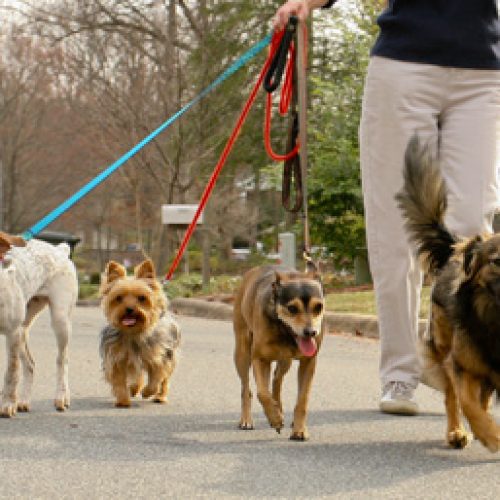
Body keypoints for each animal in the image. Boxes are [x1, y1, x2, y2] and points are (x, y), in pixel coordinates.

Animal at [0, 231, 77, 418]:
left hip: (60, 320)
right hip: (23, 329)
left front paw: (7, 405)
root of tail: (60, 249)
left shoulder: (12, 332)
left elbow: (11, 372)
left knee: (62, 359)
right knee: (30, 364)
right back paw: (24, 401)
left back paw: (61, 397)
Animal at [99, 260, 180, 408]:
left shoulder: (159, 357)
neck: (133, 332)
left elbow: (156, 378)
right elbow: (119, 381)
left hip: (170, 354)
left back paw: (160, 397)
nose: (129, 309)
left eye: (142, 298)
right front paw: (123, 400)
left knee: (164, 380)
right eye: (119, 298)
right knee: (138, 375)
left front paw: (148, 392)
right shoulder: (116, 359)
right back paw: (134, 388)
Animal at [233, 264, 324, 440]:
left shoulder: (309, 362)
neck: (284, 331)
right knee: (246, 388)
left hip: (285, 360)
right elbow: (262, 393)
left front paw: (299, 429)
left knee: (276, 380)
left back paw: (279, 408)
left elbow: (302, 400)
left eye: (319, 307)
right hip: (242, 353)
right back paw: (247, 419)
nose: (311, 332)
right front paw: (274, 419)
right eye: (292, 308)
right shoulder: (259, 359)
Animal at [396, 137, 498, 454]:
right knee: (454, 397)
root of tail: (454, 249)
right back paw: (457, 432)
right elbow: (467, 404)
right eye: (497, 261)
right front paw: (491, 435)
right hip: (445, 348)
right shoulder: (462, 364)